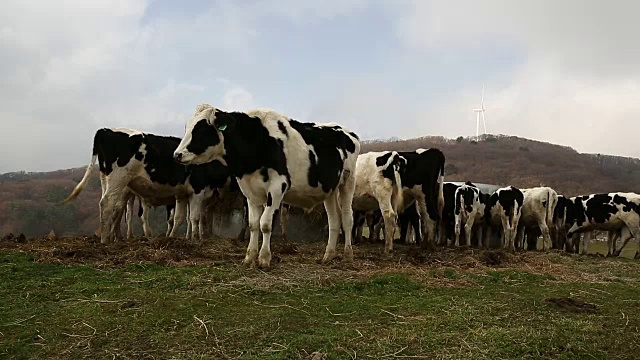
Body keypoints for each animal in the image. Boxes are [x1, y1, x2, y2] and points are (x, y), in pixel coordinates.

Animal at [171, 103, 360, 268]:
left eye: (202, 129)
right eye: (187, 127)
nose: (177, 154)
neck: (258, 141)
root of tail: (347, 132)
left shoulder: (278, 187)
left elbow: (265, 224)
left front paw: (264, 259)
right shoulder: (249, 191)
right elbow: (253, 224)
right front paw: (249, 257)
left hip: (348, 182)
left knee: (347, 218)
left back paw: (348, 255)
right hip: (330, 190)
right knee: (334, 220)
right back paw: (328, 256)